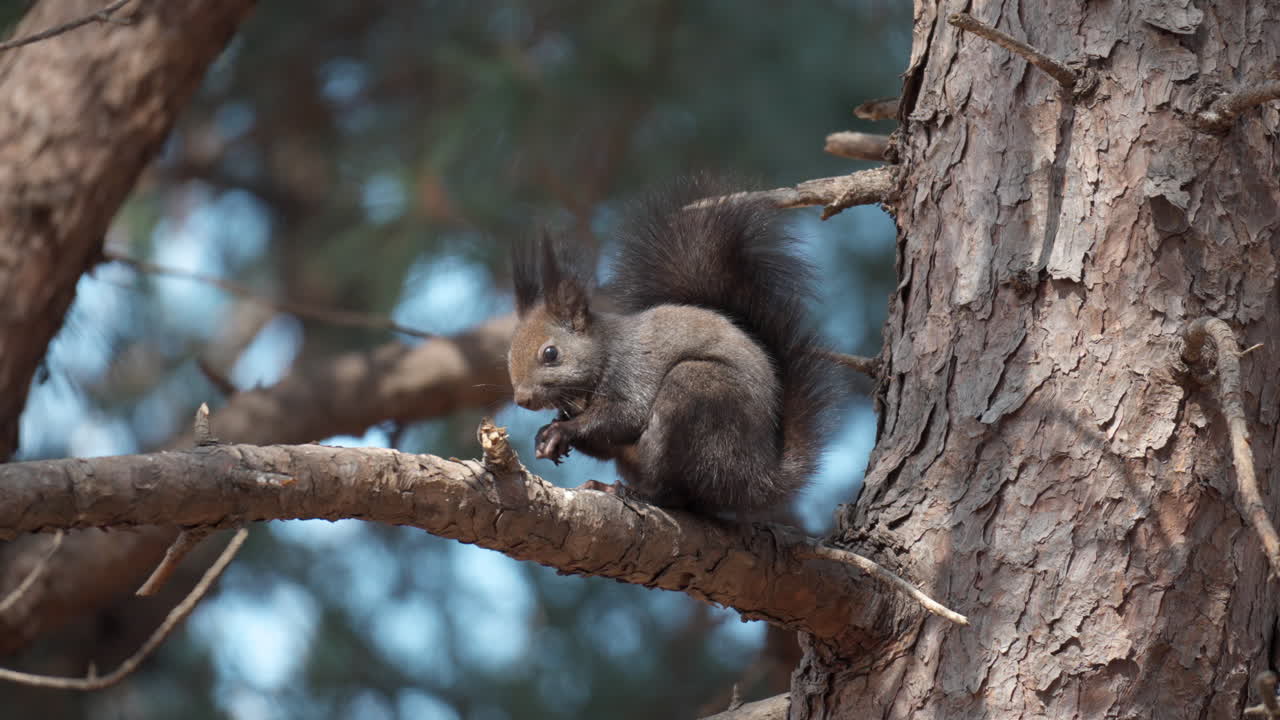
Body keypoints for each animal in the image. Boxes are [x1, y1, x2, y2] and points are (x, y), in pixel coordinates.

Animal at [507, 177, 836, 515]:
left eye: (550, 354)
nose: (523, 399)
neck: (605, 352)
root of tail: (757, 479)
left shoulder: (632, 373)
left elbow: (625, 416)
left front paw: (562, 430)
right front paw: (547, 434)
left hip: (695, 395)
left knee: (676, 493)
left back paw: (630, 492)